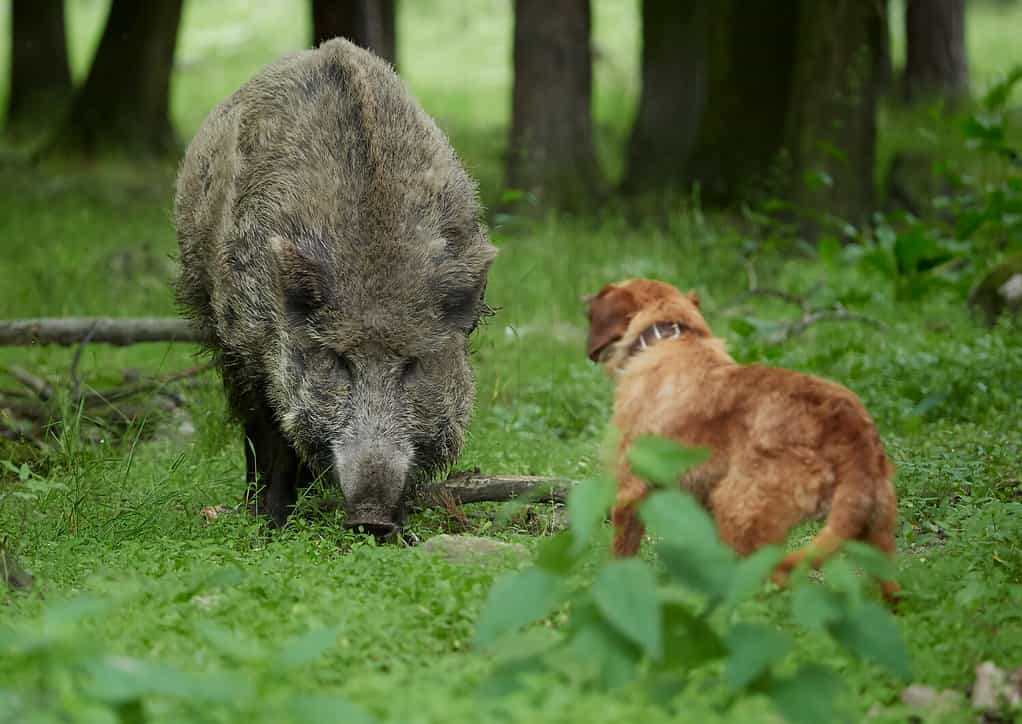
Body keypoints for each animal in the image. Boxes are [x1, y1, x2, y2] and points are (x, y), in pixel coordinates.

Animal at [588, 278, 899, 601]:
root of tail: (850, 428)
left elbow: (621, 555)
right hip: (877, 539)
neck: (668, 336)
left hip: (739, 517)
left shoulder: (629, 491)